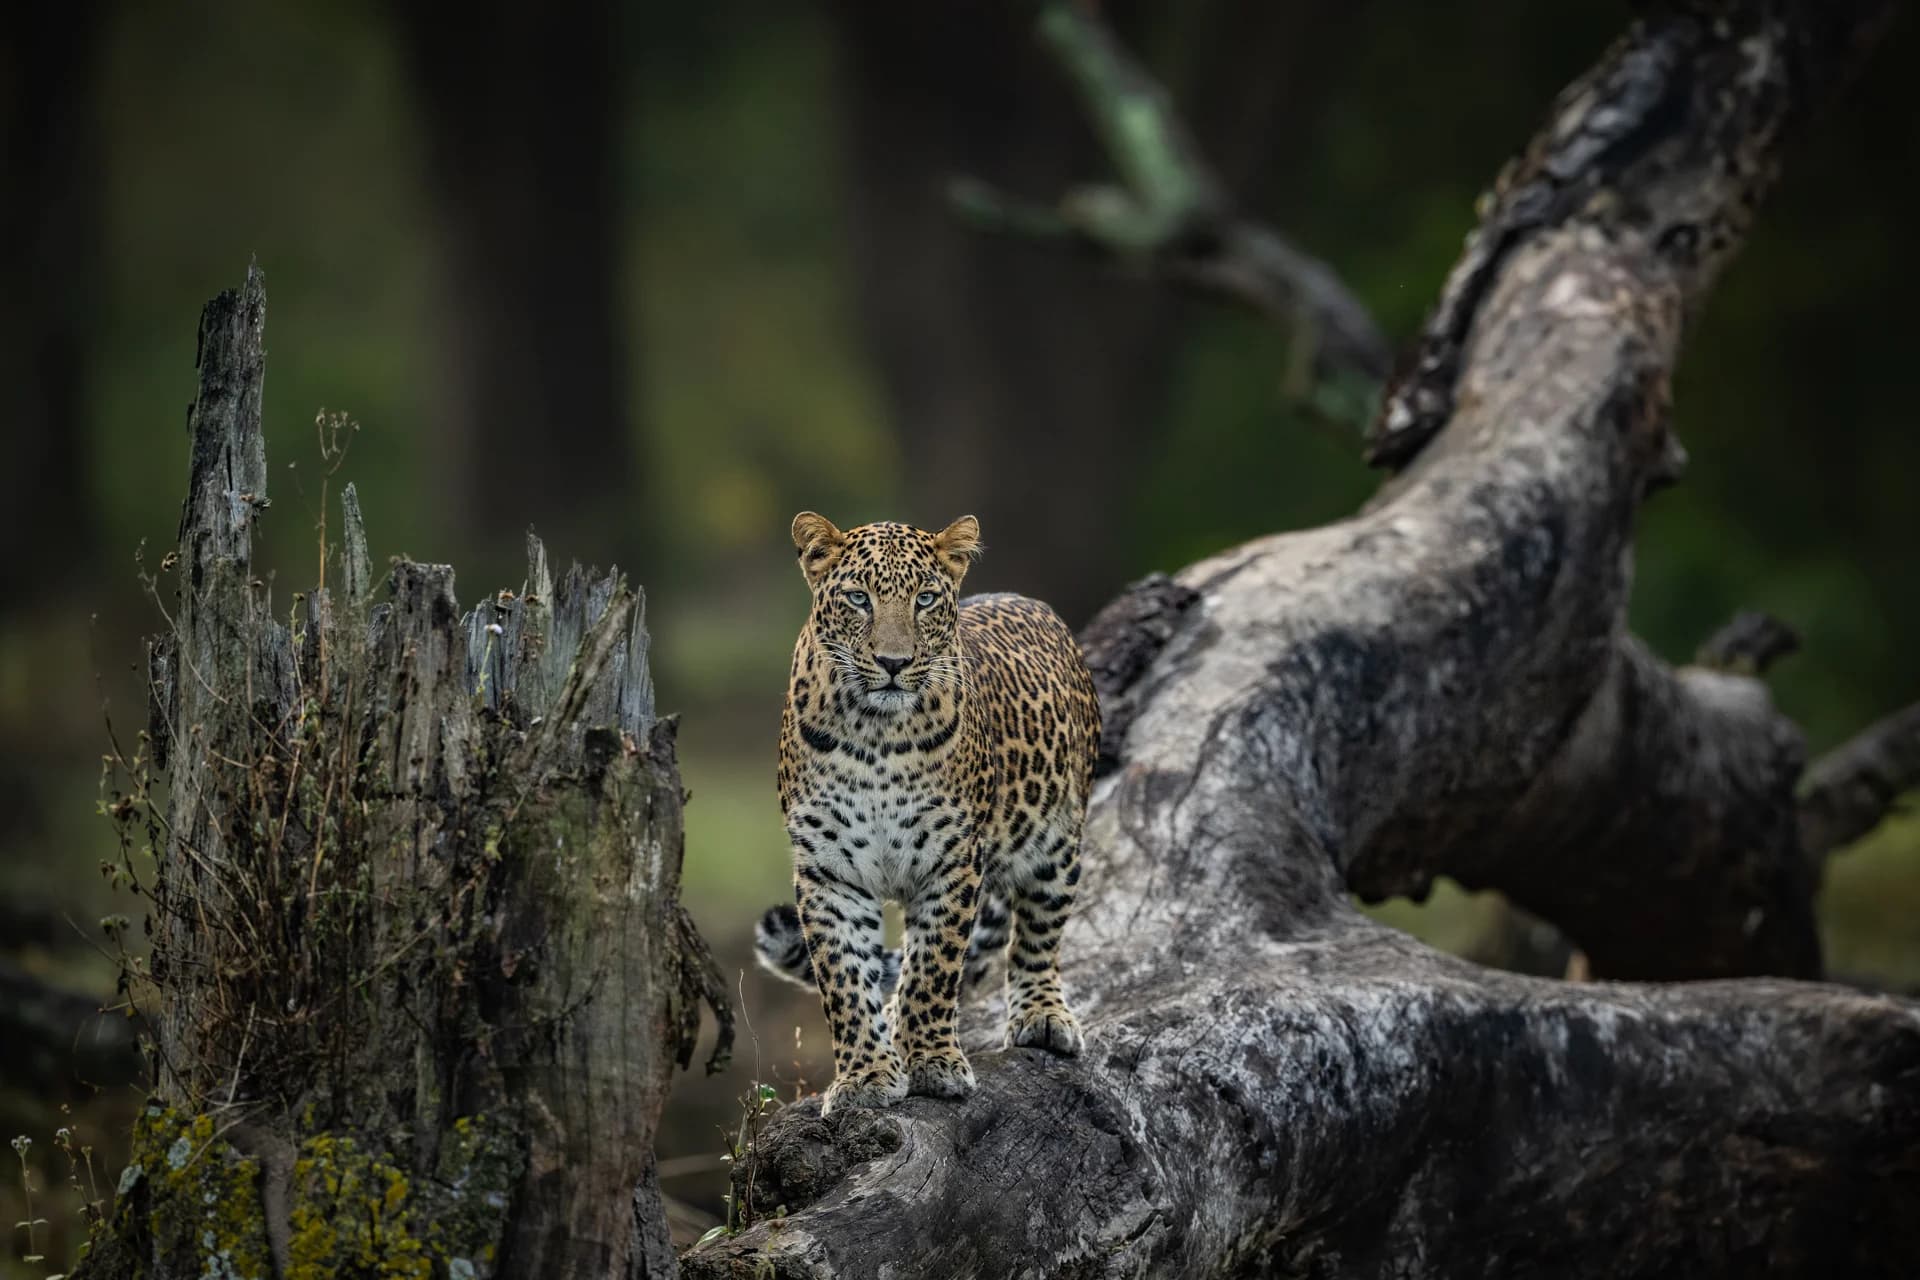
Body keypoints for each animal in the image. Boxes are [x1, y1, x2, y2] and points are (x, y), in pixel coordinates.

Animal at [754, 512, 1101, 1116]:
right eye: (858, 598)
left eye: (925, 599)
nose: (894, 663)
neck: (875, 738)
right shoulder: (828, 871)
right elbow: (845, 978)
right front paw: (865, 1075)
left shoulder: (952, 859)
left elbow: (933, 968)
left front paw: (933, 1063)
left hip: (1059, 838)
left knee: (1037, 933)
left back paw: (1042, 1015)